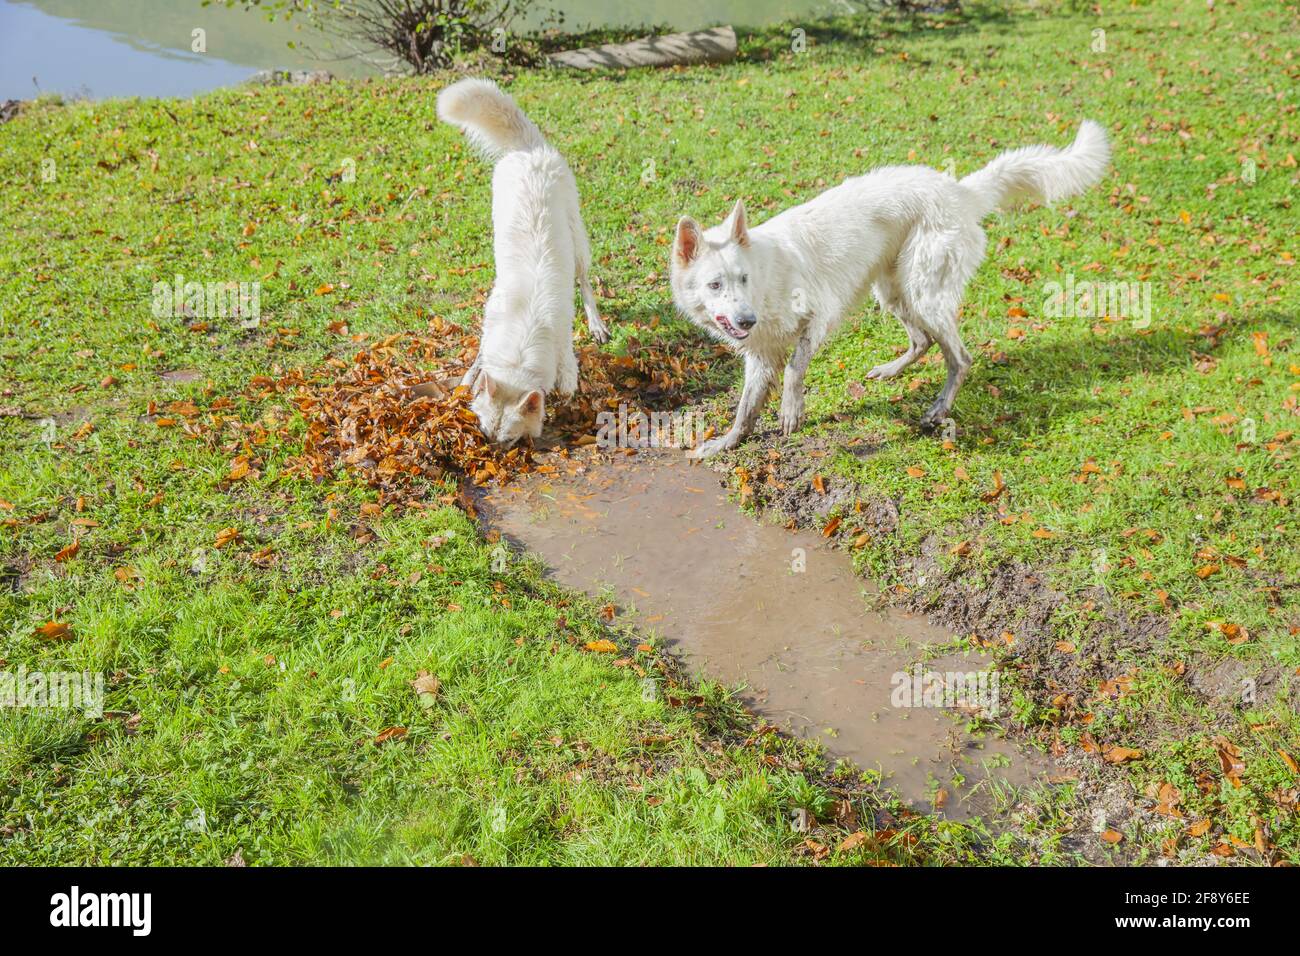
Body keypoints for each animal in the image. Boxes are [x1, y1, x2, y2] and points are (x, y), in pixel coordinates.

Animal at [436, 77, 608, 444]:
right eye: (484, 431)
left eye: (509, 441)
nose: (493, 450)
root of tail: (529, 149)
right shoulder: (491, 323)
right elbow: (479, 360)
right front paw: (469, 379)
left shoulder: (562, 350)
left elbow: (566, 384)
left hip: (578, 241)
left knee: (585, 282)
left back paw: (597, 324)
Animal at [676, 122, 1112, 460]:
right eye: (715, 284)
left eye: (743, 278)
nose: (746, 319)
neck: (766, 280)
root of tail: (958, 191)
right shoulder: (760, 357)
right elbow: (745, 409)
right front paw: (728, 443)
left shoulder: (819, 316)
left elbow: (794, 369)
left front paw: (791, 410)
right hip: (893, 290)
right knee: (922, 341)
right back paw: (891, 370)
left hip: (923, 292)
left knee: (960, 358)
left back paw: (938, 410)